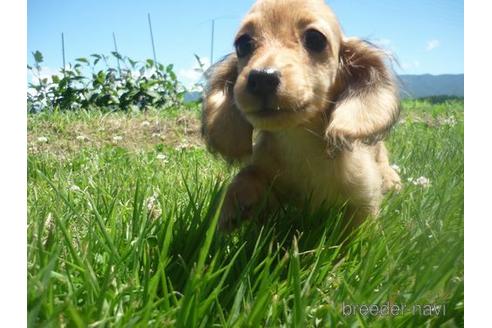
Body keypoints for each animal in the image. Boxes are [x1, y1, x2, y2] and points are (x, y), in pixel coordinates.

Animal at [202, 0, 402, 231]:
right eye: (243, 44)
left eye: (315, 39)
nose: (262, 78)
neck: (300, 142)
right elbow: (248, 175)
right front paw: (230, 208)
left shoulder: (364, 199)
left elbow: (357, 232)